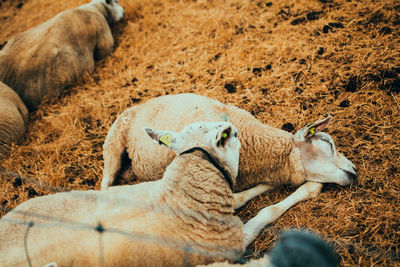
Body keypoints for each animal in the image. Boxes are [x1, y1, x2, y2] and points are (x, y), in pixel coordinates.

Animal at [0, 122, 322, 267]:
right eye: (230, 135)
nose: (235, 131)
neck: (178, 197)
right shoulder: (231, 244)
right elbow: (265, 214)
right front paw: (308, 188)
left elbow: (243, 196)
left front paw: (268, 185)